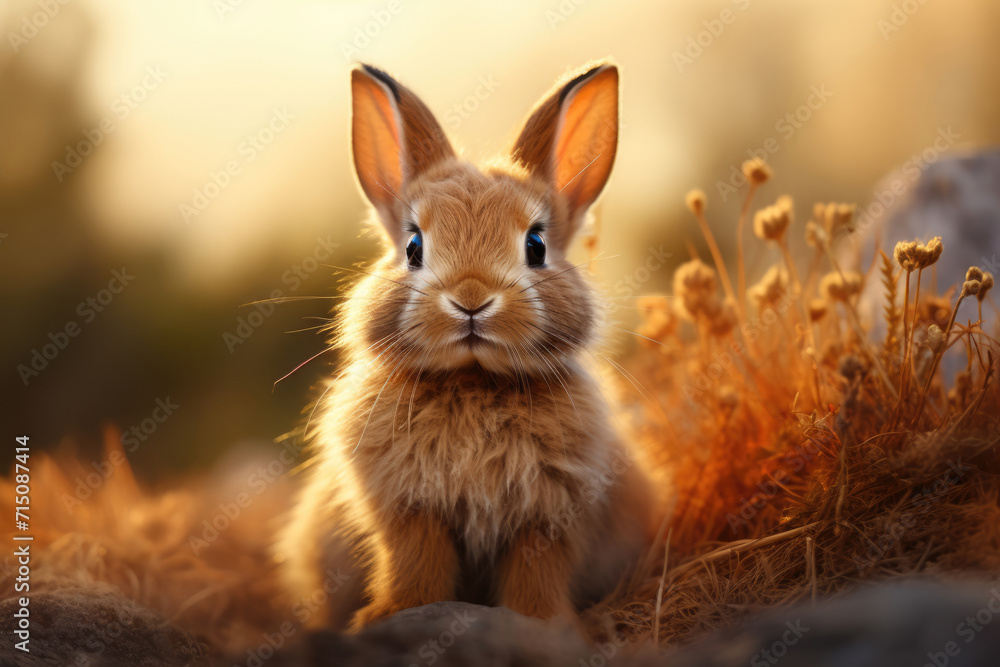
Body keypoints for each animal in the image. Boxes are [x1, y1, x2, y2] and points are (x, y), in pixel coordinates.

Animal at [278, 61, 657, 632]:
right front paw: (392, 613)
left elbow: (536, 572)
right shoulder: (410, 510)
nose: (472, 300)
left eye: (536, 246)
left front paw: (544, 624)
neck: (474, 378)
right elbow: (418, 563)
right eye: (413, 247)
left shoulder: (548, 515)